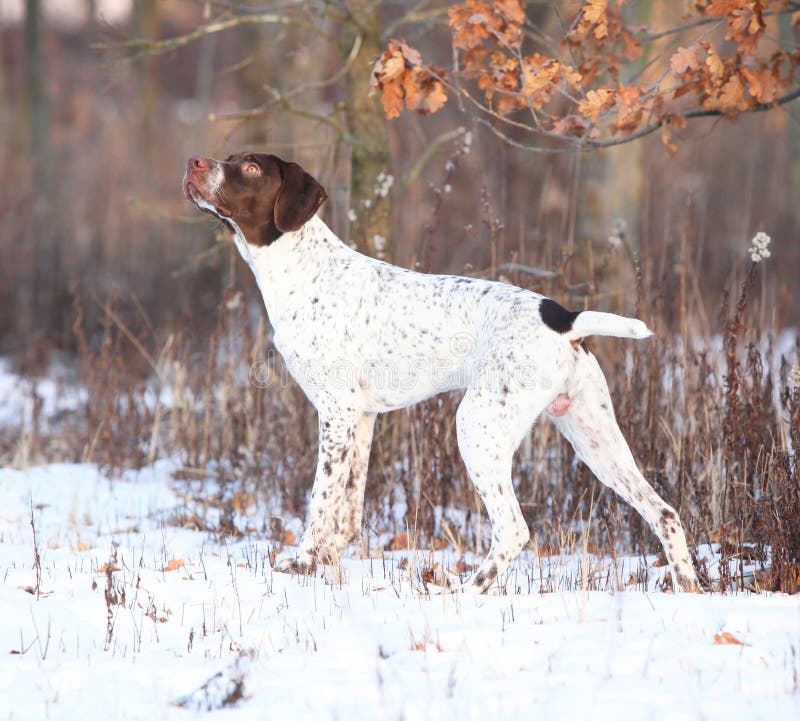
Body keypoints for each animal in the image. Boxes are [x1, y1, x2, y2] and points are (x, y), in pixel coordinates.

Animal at [183, 150, 700, 592]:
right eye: (231, 157)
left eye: (251, 167)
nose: (195, 162)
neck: (304, 272)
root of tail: (564, 318)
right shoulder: (360, 419)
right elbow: (348, 509)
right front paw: (326, 565)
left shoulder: (335, 413)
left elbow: (322, 501)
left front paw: (303, 563)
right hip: (595, 438)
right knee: (665, 513)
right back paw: (689, 588)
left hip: (478, 427)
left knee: (513, 529)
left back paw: (464, 591)